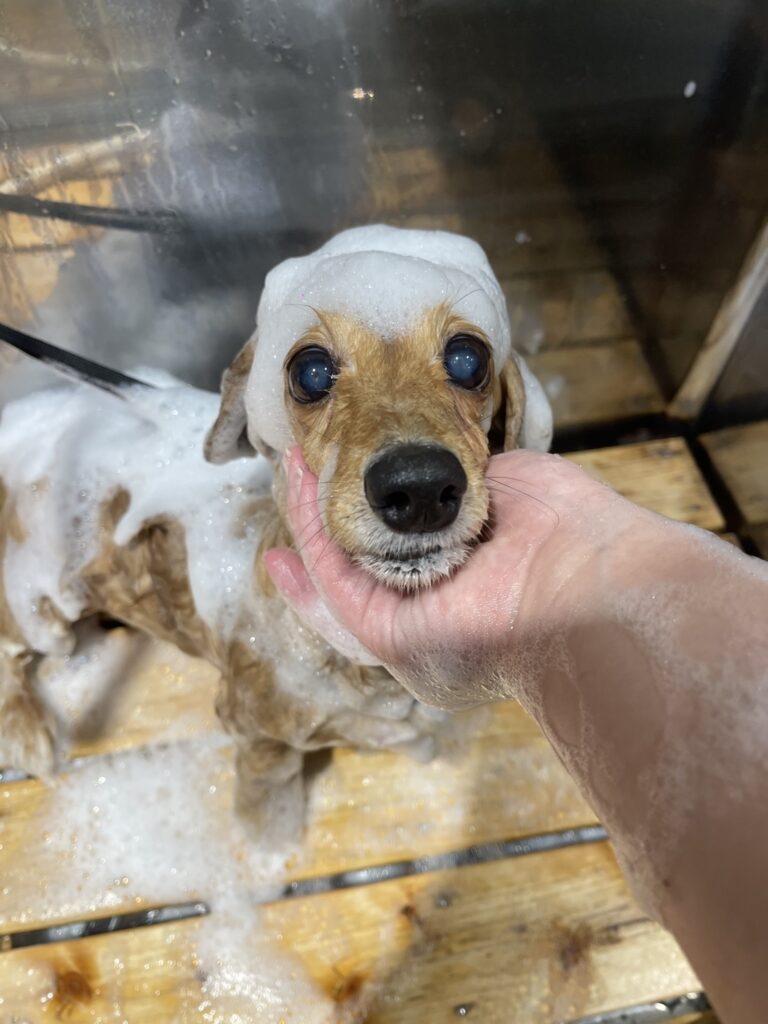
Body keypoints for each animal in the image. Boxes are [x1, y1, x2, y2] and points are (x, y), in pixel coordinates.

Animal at [0, 225, 552, 838]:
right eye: (310, 372)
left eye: (467, 359)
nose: (420, 487)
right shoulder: (255, 732)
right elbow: (266, 800)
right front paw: (271, 843)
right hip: (43, 606)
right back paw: (27, 732)